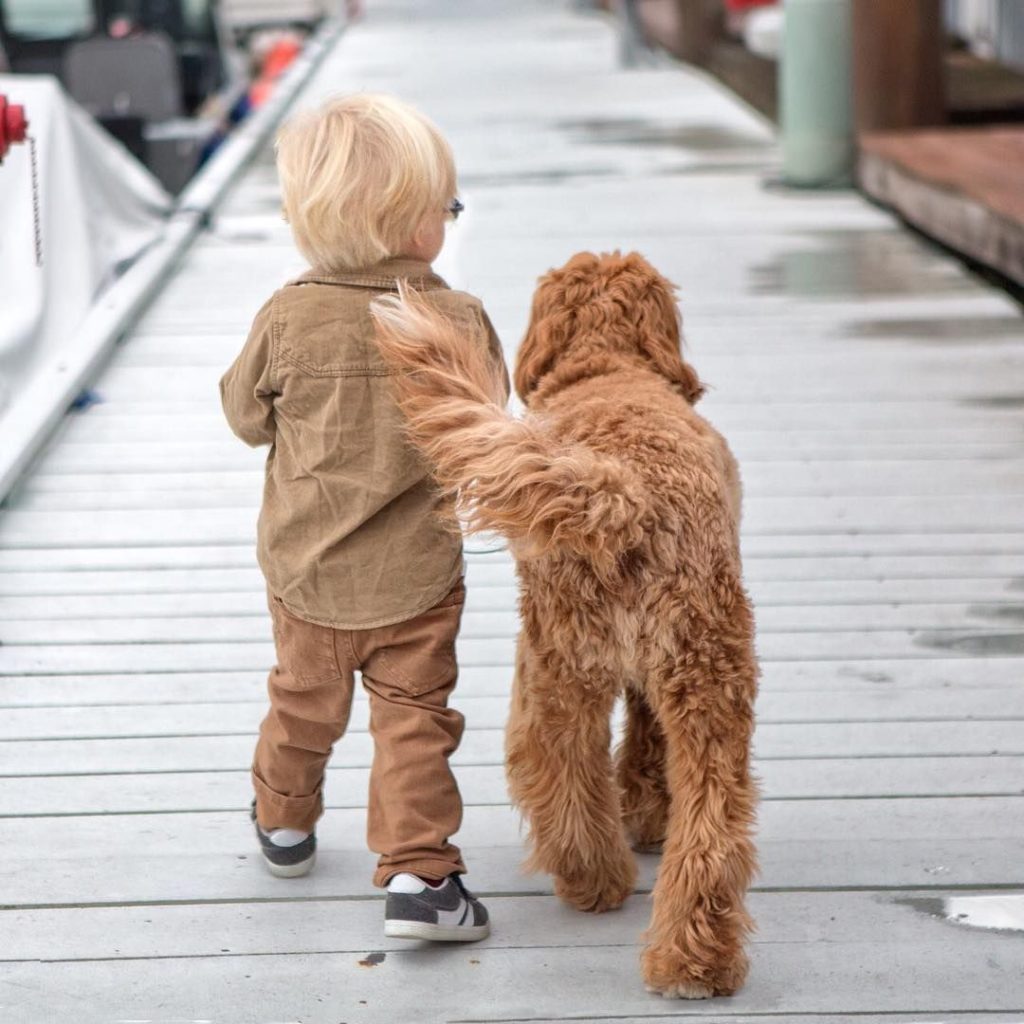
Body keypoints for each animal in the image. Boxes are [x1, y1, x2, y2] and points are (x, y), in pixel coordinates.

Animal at [372, 251, 757, 995]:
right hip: (700, 678)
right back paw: (692, 955)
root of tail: (625, 494)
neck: (608, 368)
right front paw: (648, 813)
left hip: (565, 662)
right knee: (710, 819)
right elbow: (645, 746)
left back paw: (595, 881)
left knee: (556, 758)